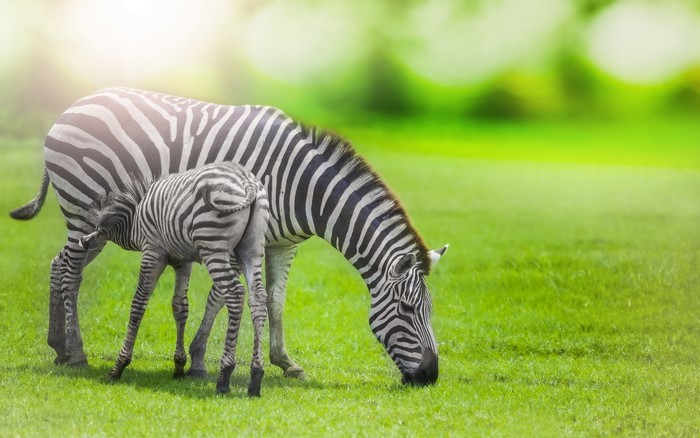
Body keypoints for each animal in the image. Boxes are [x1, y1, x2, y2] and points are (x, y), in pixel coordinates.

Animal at [78, 162, 270, 396]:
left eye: (97, 226)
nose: (83, 242)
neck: (136, 218)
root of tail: (247, 181)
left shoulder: (152, 252)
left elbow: (138, 304)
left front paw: (119, 366)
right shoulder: (182, 261)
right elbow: (180, 306)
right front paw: (178, 366)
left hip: (213, 246)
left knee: (235, 294)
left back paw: (224, 377)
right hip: (252, 248)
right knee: (258, 298)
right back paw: (256, 378)